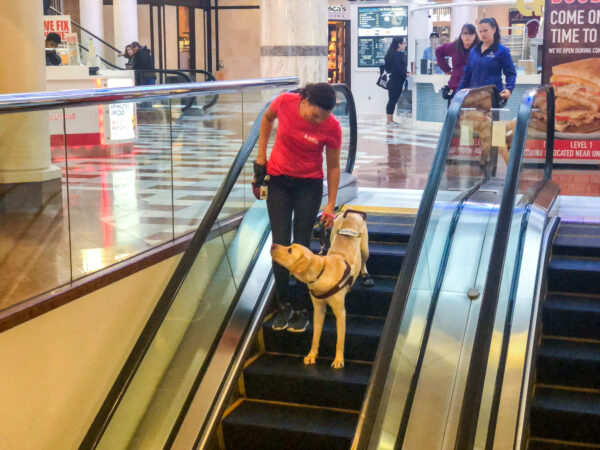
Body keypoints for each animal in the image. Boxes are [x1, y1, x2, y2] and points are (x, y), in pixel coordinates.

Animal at [272, 209, 370, 368]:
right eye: (289, 246)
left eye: (290, 250)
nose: (272, 245)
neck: (321, 273)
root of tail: (351, 213)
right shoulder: (318, 310)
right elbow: (315, 337)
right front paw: (312, 355)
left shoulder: (341, 313)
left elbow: (340, 340)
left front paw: (338, 360)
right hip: (332, 233)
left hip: (365, 248)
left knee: (363, 261)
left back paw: (365, 275)